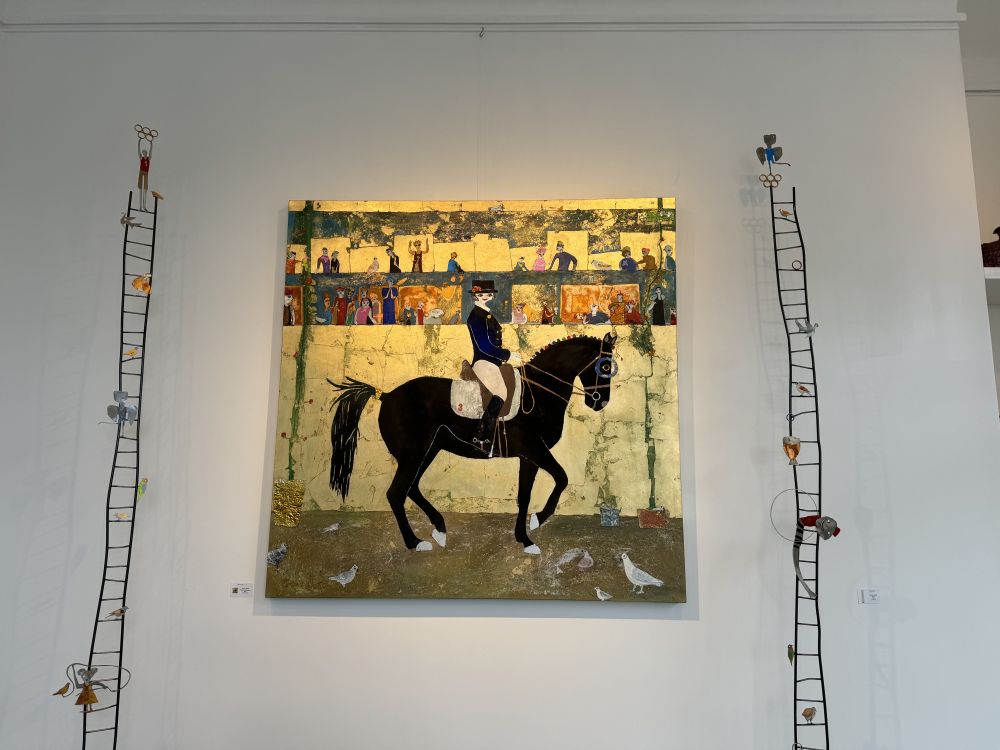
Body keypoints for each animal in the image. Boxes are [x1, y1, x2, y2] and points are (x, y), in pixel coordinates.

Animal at [327, 333, 618, 554]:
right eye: (605, 367)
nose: (599, 402)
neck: (538, 391)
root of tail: (386, 395)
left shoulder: (529, 456)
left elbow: (524, 496)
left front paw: (524, 539)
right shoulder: (535, 450)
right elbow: (562, 479)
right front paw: (536, 522)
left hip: (427, 451)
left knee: (412, 488)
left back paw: (439, 529)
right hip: (414, 454)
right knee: (396, 493)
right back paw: (415, 543)